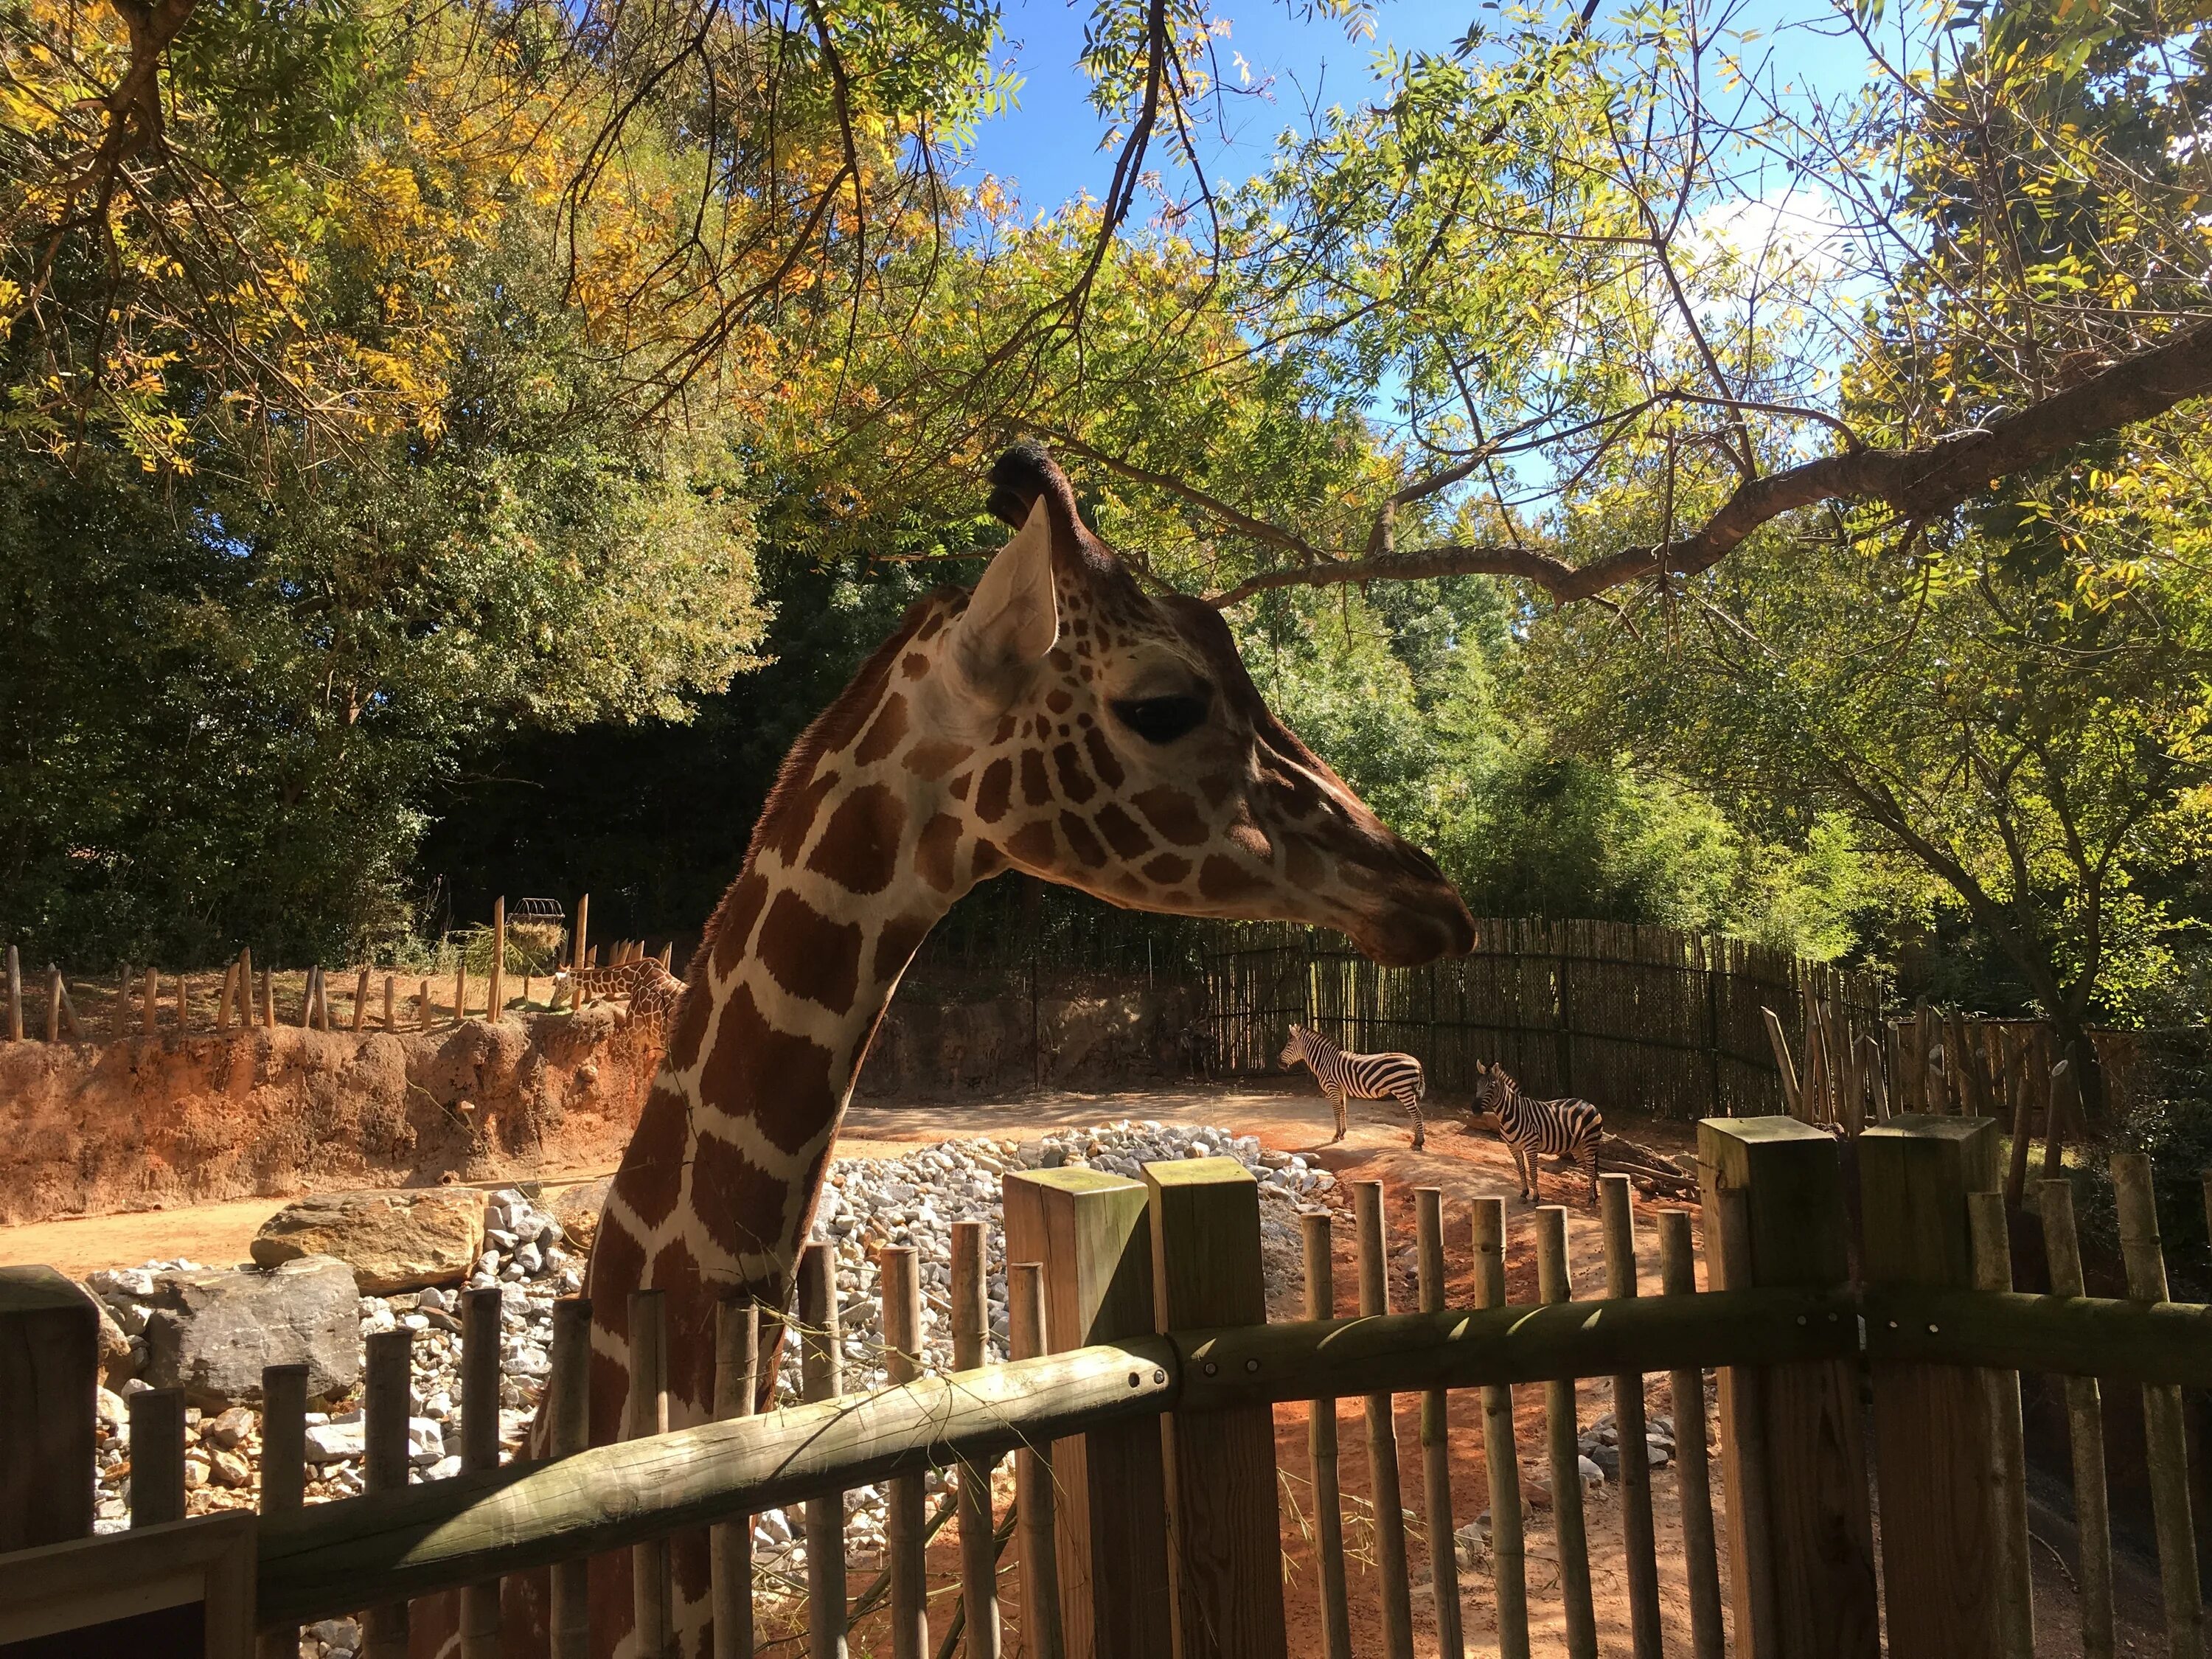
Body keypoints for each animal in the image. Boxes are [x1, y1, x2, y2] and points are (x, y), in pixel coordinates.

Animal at [1283, 1026, 1433, 1159]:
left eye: (1289, 1045)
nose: (1279, 1063)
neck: (1325, 1062)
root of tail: (1416, 1062)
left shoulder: (1332, 1088)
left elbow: (1336, 1112)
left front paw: (1336, 1136)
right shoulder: (1341, 1090)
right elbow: (1343, 1110)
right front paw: (1343, 1133)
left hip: (1403, 1090)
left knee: (1417, 1114)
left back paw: (1418, 1143)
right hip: (1406, 1090)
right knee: (1415, 1115)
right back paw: (1416, 1141)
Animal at [1478, 1066, 1601, 1212]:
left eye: (1492, 1087)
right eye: (1477, 1085)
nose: (1474, 1109)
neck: (1512, 1114)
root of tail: (1589, 1104)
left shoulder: (1531, 1147)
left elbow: (1533, 1173)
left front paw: (1535, 1198)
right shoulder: (1513, 1147)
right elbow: (1521, 1171)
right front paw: (1524, 1194)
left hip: (1589, 1143)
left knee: (1591, 1170)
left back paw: (1592, 1200)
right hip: (1578, 1147)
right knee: (1589, 1169)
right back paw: (1594, 1196)